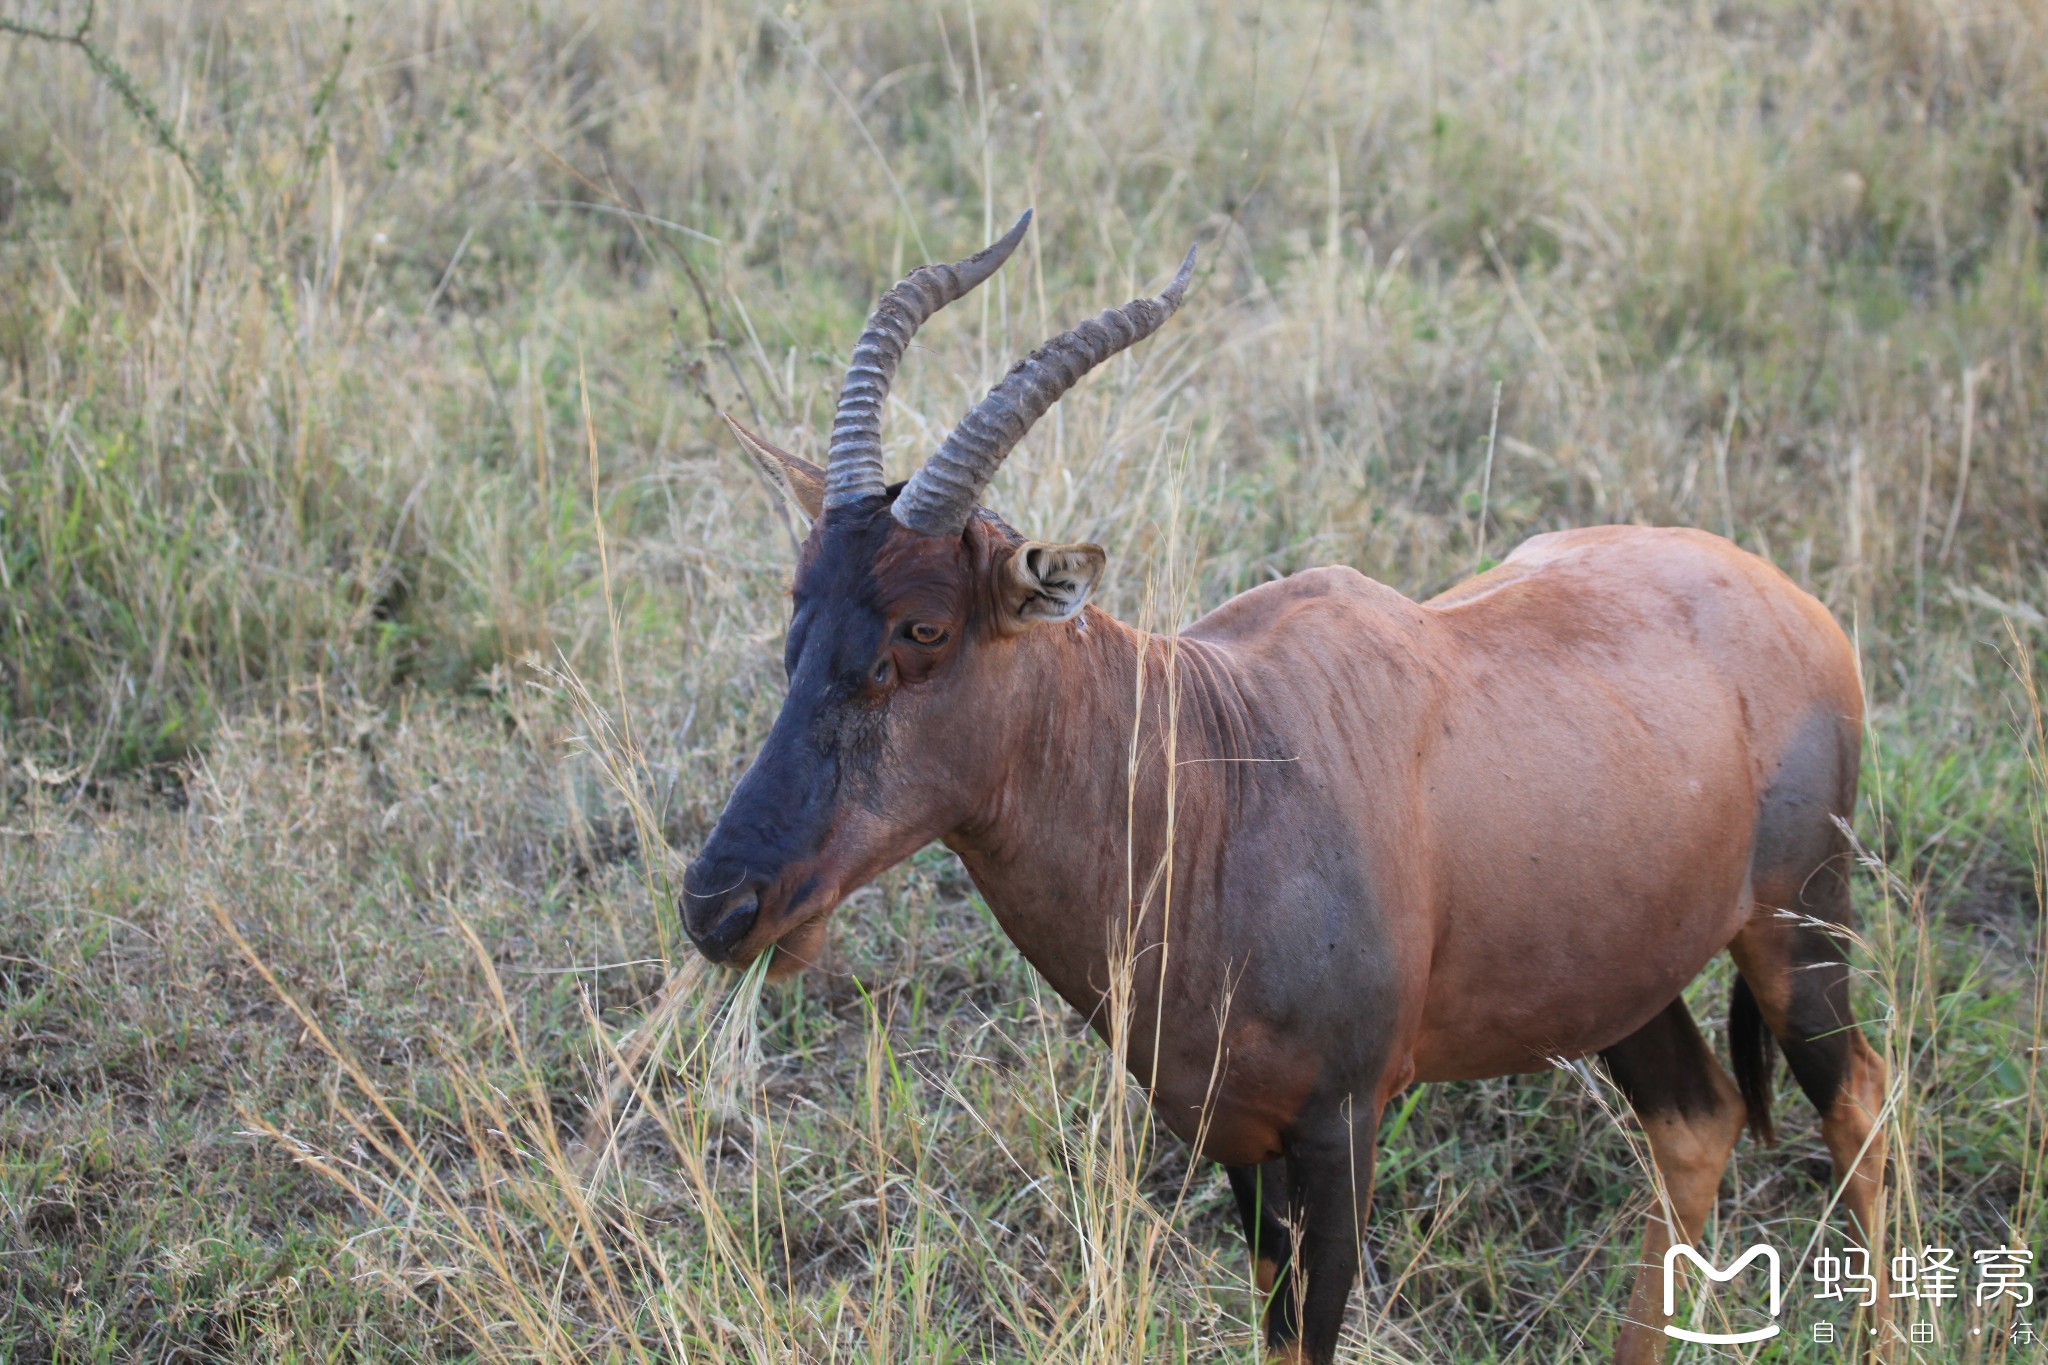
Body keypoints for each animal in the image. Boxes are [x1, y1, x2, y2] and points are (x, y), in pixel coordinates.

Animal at [684, 208, 1884, 1358]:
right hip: (1616, 972)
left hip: (1797, 925)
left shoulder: (1338, 1128)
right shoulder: (1239, 1139)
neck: (1212, 766)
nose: (720, 904)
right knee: (1696, 1119)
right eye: (798, 599)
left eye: (923, 628)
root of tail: (1793, 603)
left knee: (1859, 1100)